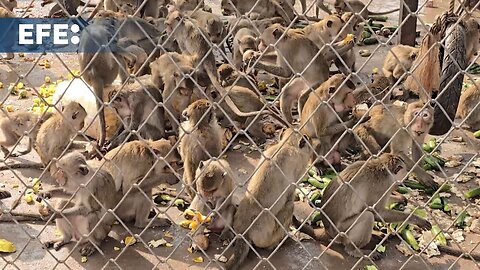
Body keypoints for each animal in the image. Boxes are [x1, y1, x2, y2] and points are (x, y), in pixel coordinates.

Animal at [226, 129, 316, 270]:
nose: (312, 146)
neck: (286, 145)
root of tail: (244, 232)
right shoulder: (298, 167)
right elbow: (290, 196)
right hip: (267, 236)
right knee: (289, 206)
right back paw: (281, 242)